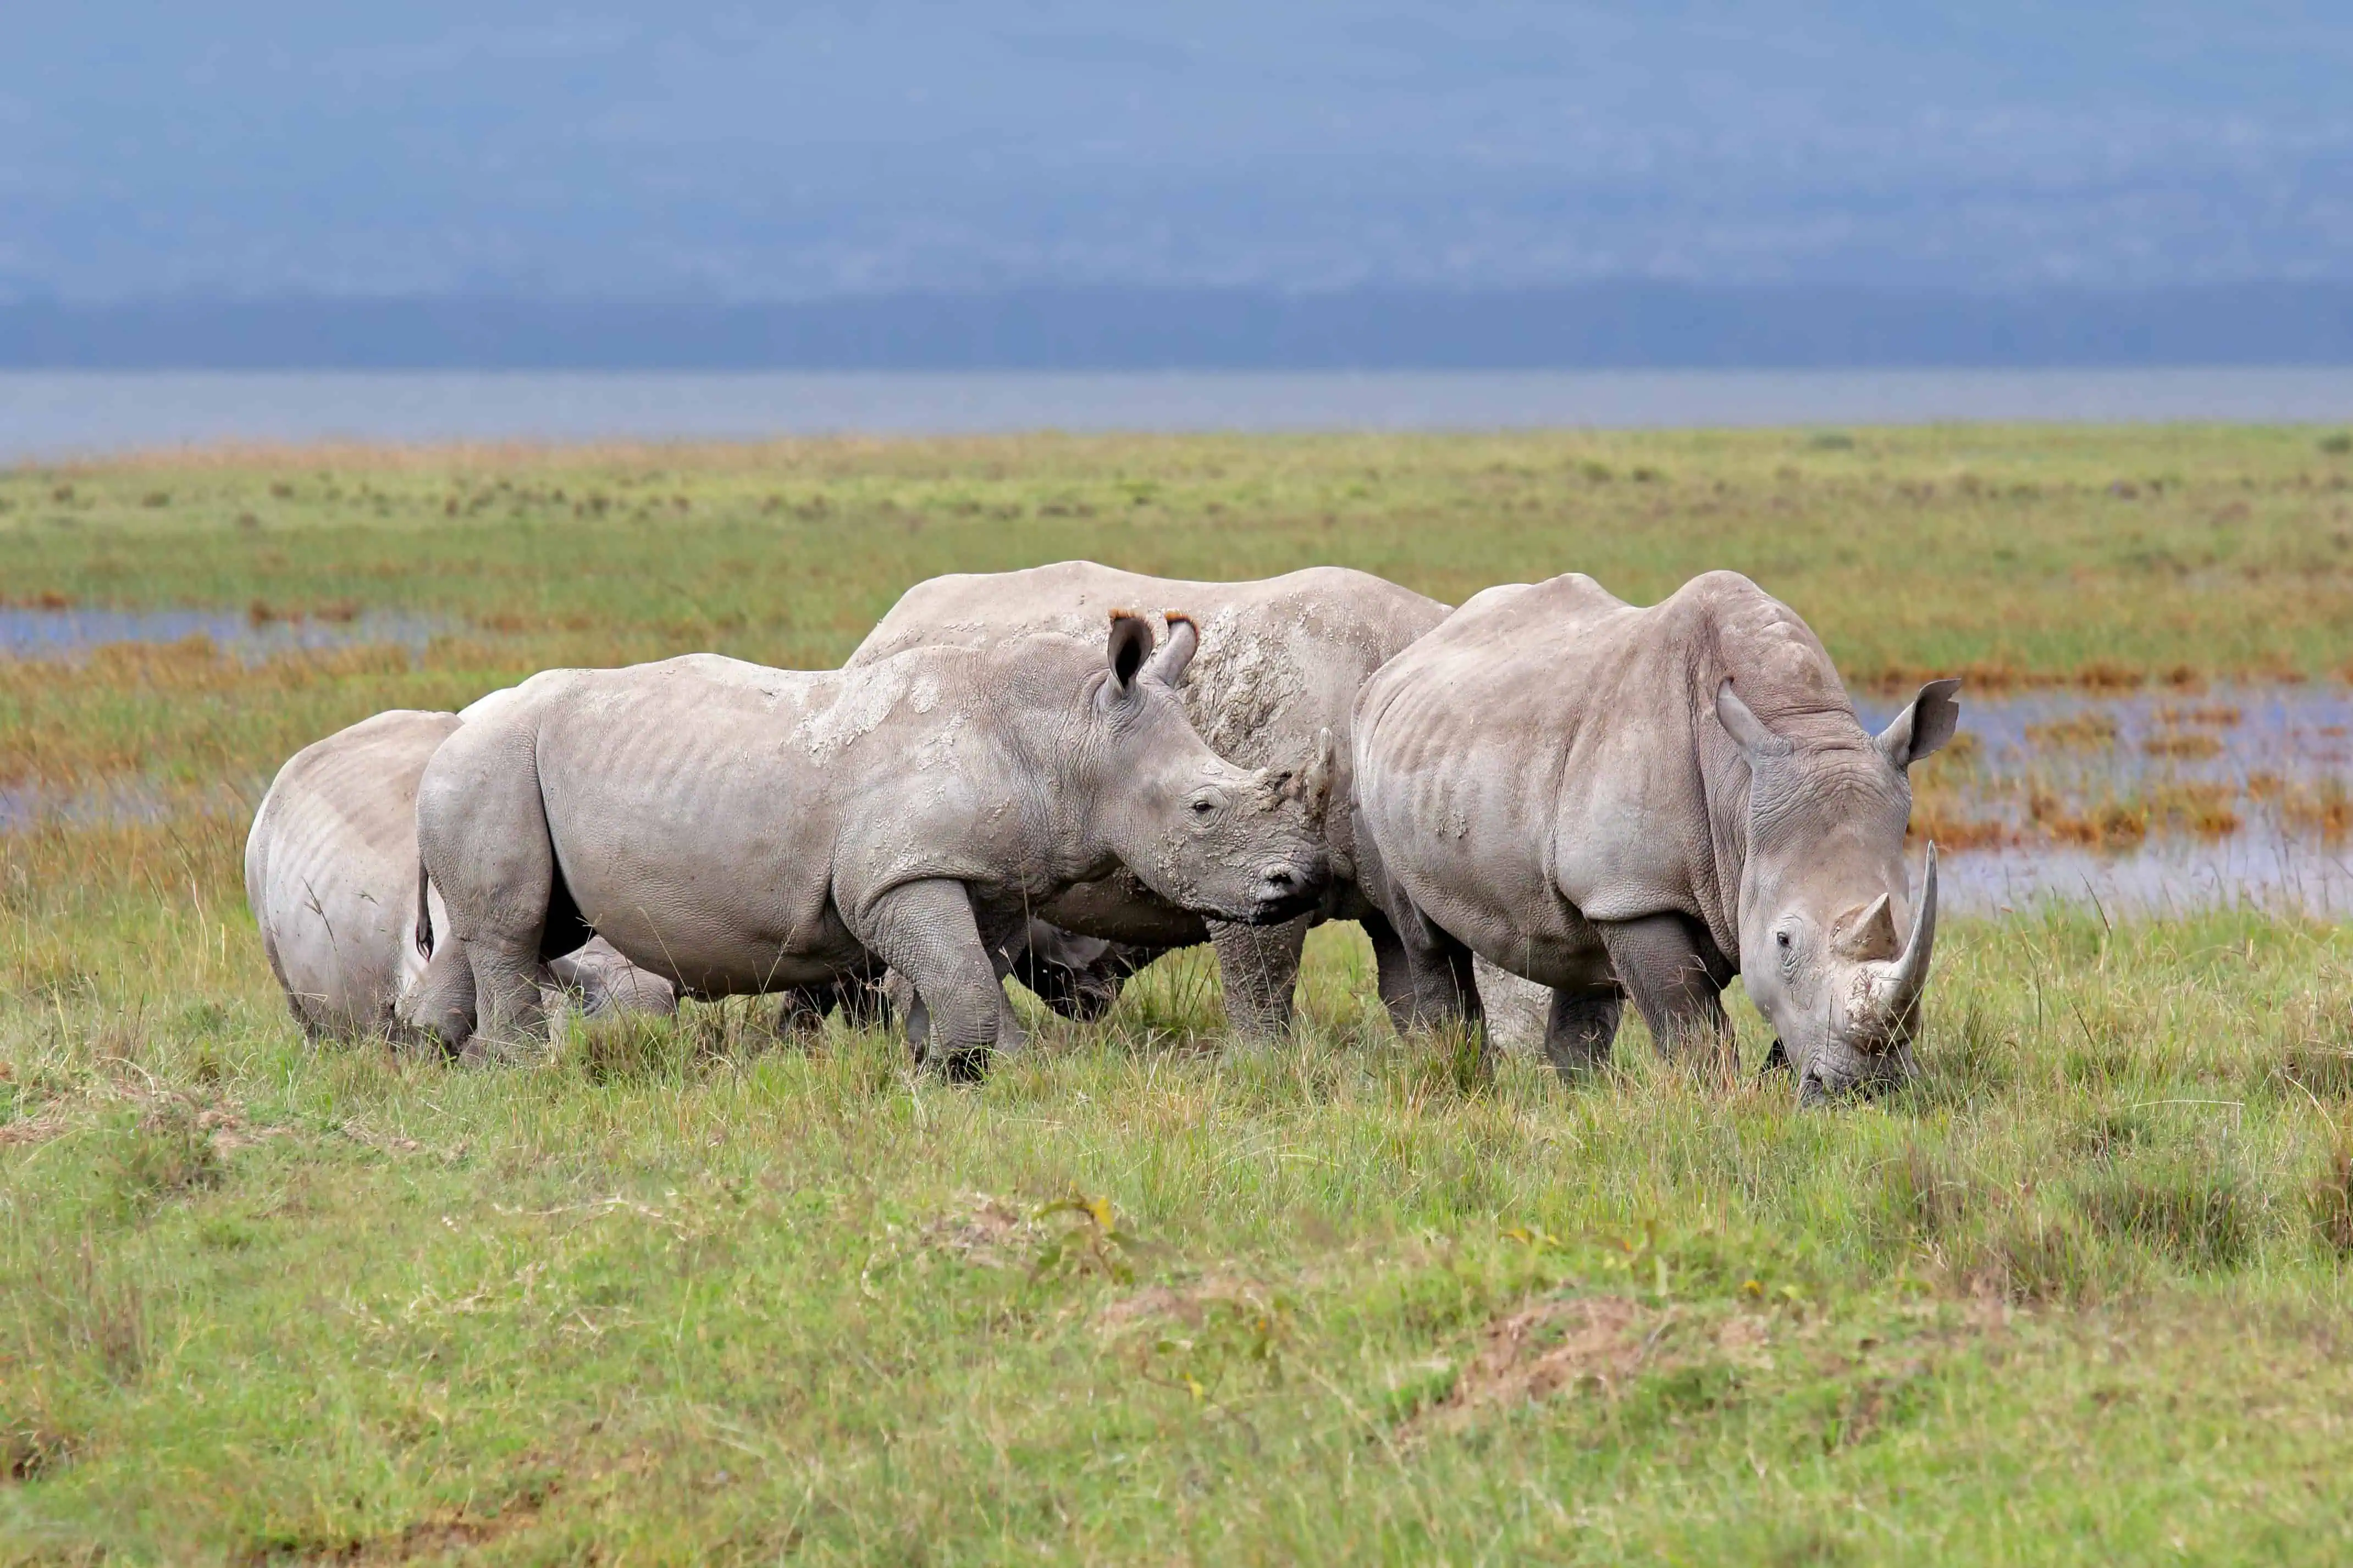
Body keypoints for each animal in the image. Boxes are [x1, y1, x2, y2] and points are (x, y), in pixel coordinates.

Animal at [402, 616, 1331, 1075]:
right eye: (1203, 808)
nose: (1295, 884)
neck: (1067, 739)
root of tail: (457, 726)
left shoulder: (985, 875)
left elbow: (965, 970)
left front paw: (977, 1067)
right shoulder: (892, 875)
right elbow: (960, 975)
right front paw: (953, 1069)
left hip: (498, 766)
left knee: (516, 929)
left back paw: (436, 1061)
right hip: (489, 764)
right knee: (514, 927)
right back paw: (526, 1071)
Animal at [847, 562, 1448, 1035]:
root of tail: (877, 636)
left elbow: (1415, 993)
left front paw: (1430, 1062)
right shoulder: (1245, 867)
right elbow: (1262, 989)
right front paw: (1263, 1069)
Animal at [1351, 570, 1958, 1103]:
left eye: (1911, 925)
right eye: (1784, 940)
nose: (1868, 1090)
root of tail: (1407, 657)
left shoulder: (1657, 885)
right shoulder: (1636, 895)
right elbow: (1691, 1028)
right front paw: (1712, 1103)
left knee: (1579, 956)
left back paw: (1585, 1100)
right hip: (1370, 756)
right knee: (1425, 936)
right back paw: (1462, 1083)